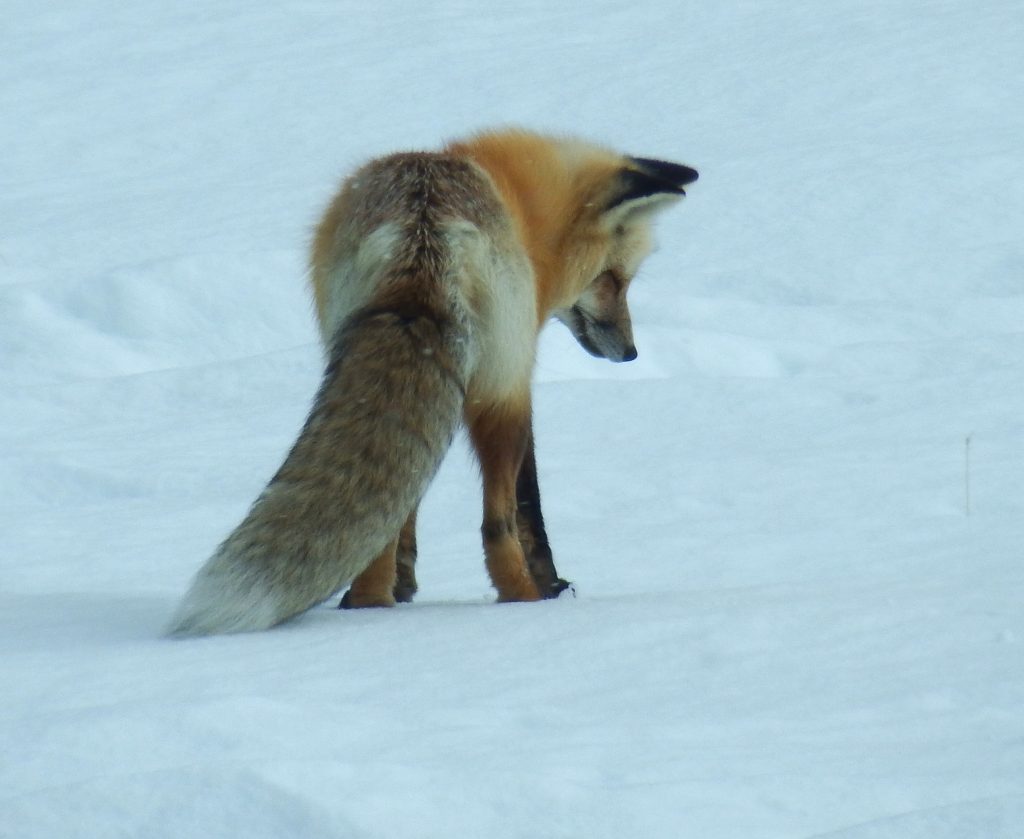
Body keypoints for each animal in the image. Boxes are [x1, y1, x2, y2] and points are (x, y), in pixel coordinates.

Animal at [165, 128, 696, 635]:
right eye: (614, 279)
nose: (631, 353)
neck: (518, 203)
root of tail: (421, 228)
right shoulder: (514, 379)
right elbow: (530, 504)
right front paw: (551, 584)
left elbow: (405, 506)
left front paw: (404, 582)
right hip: (496, 394)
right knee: (495, 523)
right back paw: (522, 600)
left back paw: (369, 604)